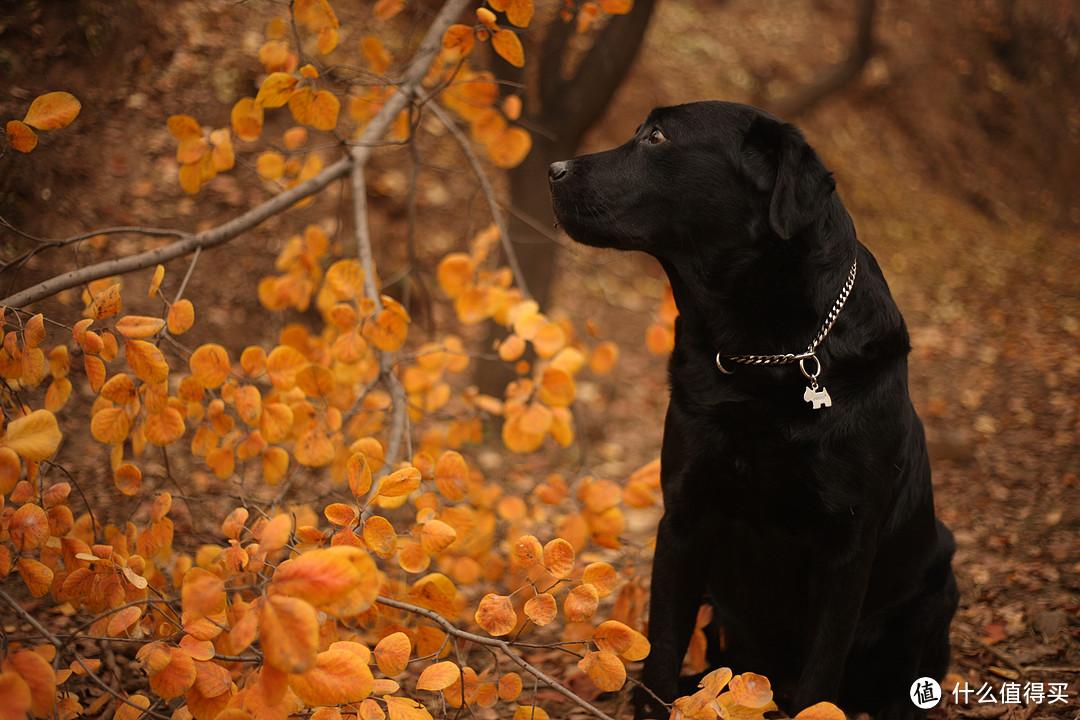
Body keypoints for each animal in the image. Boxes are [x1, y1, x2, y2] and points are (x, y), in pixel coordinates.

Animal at [552, 102, 959, 720]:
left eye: (657, 136)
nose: (552, 169)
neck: (762, 355)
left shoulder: (847, 541)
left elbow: (822, 673)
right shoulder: (685, 518)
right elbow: (662, 646)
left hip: (940, 582)